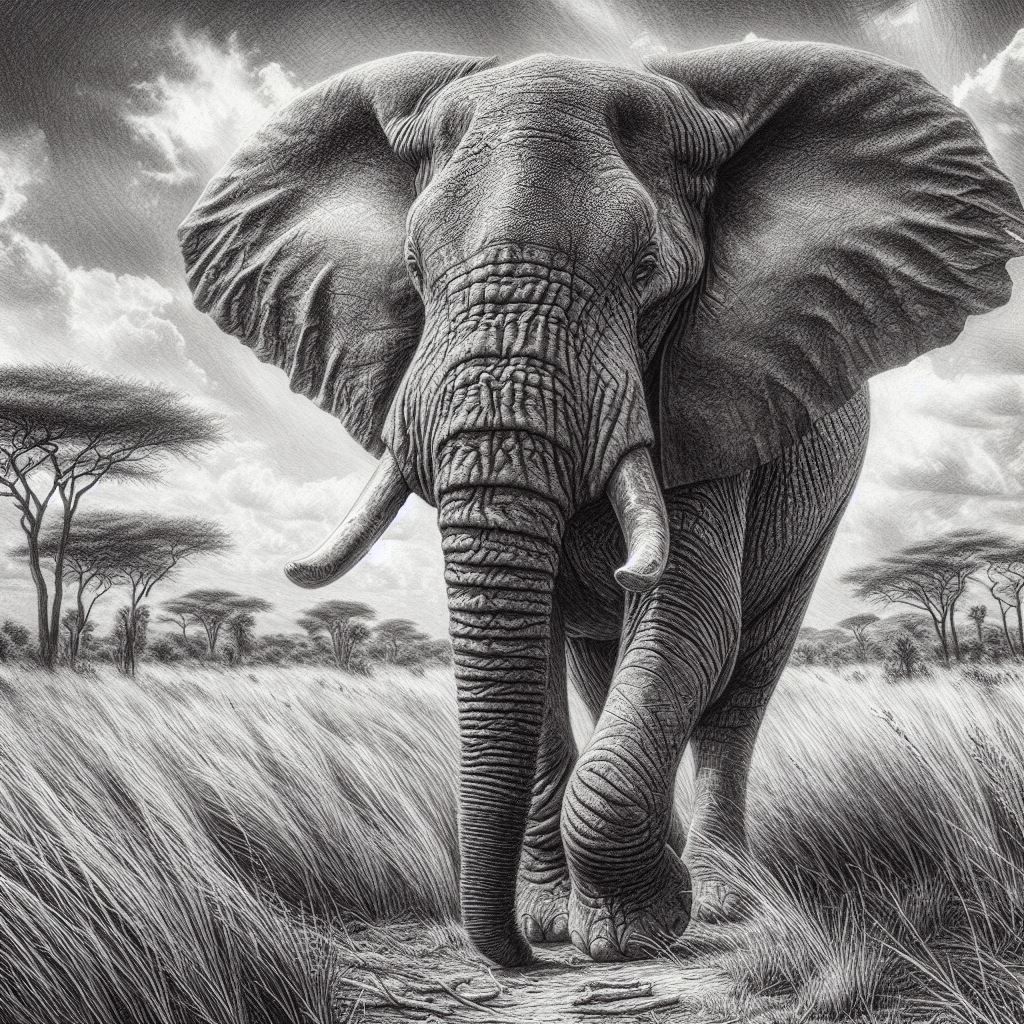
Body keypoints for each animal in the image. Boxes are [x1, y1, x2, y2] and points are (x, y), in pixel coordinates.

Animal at [179, 41, 1024, 967]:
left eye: (648, 275)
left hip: (818, 510)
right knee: (599, 671)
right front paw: (556, 921)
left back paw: (726, 898)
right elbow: (544, 649)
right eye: (414, 272)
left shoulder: (714, 396)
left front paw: (639, 929)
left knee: (742, 683)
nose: (513, 955)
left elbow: (691, 620)